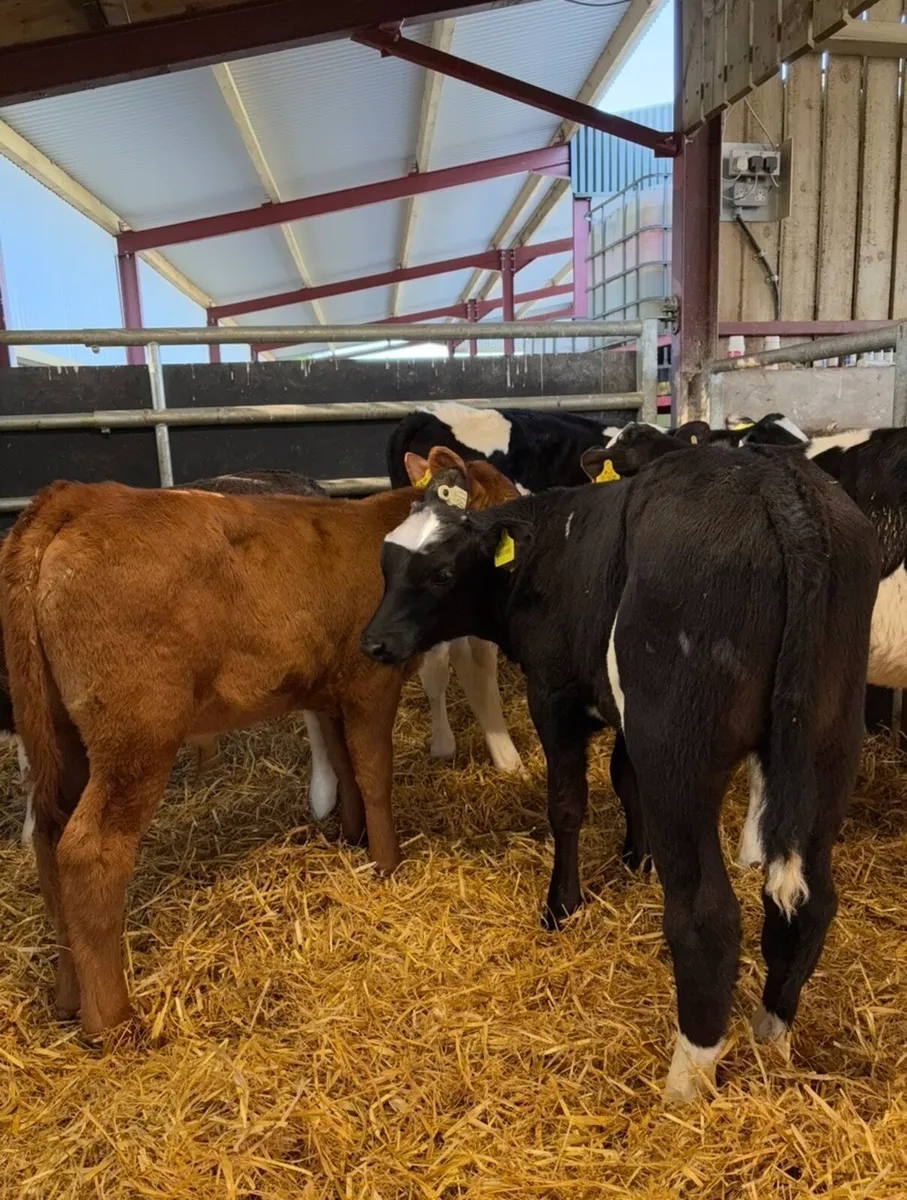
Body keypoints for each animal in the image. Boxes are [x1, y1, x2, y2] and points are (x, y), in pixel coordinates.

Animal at [1, 455, 516, 1036]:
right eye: (502, 505)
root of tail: (82, 497)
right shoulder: (371, 684)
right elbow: (374, 774)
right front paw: (388, 863)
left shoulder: (330, 691)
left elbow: (345, 765)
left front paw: (352, 838)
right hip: (135, 739)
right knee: (89, 852)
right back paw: (111, 1020)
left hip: (60, 736)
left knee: (48, 839)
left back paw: (68, 997)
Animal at [362, 443, 879, 1102]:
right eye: (387, 565)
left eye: (442, 574)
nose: (374, 642)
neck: (547, 546)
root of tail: (769, 477)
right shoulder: (623, 719)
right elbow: (621, 777)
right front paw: (636, 859)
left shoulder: (554, 695)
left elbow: (567, 804)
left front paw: (562, 906)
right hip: (827, 746)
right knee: (808, 904)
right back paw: (772, 1039)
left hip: (678, 747)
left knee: (707, 915)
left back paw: (684, 1082)